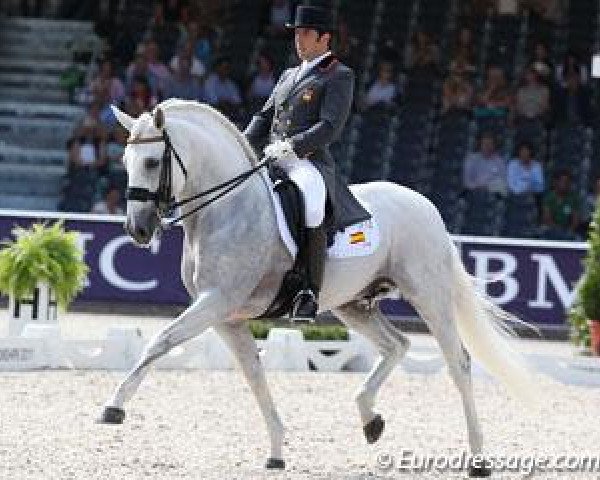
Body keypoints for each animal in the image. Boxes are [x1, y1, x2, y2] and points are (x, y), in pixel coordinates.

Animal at [102, 98, 540, 476]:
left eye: (152, 161)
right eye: (125, 162)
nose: (137, 230)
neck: (226, 210)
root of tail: (425, 205)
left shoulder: (217, 302)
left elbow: (159, 341)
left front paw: (114, 408)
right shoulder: (227, 317)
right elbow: (254, 375)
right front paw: (277, 451)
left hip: (429, 296)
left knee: (458, 363)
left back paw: (478, 459)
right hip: (352, 304)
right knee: (396, 345)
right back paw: (370, 419)